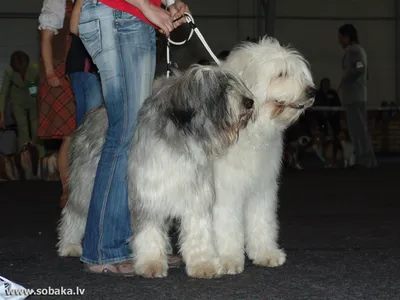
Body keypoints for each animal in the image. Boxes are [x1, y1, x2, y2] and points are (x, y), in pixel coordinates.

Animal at [57, 63, 255, 278]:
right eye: (220, 89)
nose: (250, 102)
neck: (181, 142)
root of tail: (93, 114)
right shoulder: (148, 195)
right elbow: (149, 232)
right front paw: (151, 263)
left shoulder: (195, 197)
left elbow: (198, 233)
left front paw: (203, 264)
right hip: (86, 185)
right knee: (74, 213)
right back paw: (69, 245)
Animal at [212, 37, 316, 274]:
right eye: (281, 74)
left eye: (299, 73)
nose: (312, 92)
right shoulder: (225, 191)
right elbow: (226, 224)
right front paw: (228, 259)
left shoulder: (261, 188)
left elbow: (261, 220)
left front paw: (266, 254)